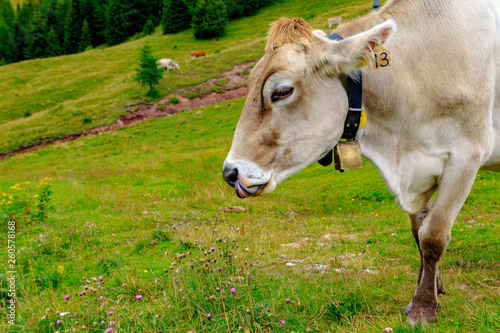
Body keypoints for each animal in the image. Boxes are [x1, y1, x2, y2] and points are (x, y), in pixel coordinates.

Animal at [223, 0, 500, 326]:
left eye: (281, 91)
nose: (231, 172)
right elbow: (418, 231)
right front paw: (431, 288)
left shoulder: (466, 156)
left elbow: (433, 236)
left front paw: (423, 307)